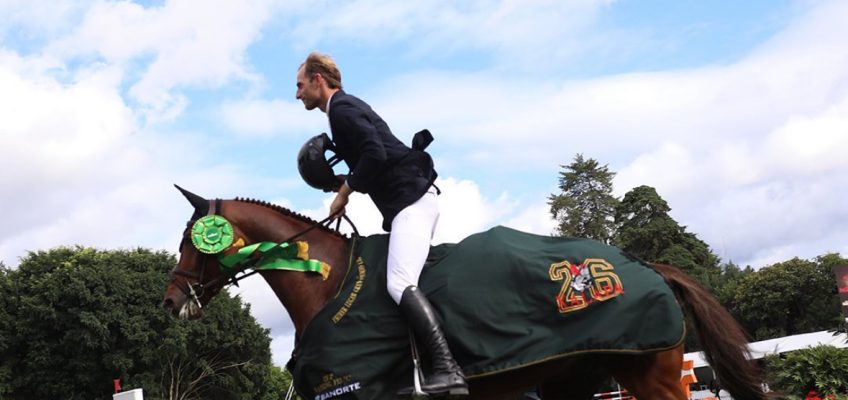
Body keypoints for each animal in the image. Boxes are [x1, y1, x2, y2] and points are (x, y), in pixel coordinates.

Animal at [161, 188, 768, 400]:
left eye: (190, 242)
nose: (169, 303)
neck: (326, 282)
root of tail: (642, 266)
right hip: (575, 380)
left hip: (653, 376)